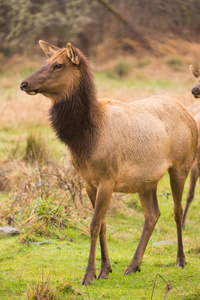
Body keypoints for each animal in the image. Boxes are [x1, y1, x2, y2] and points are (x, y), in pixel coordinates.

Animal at [19, 41, 198, 284]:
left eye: (58, 65)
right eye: (45, 61)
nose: (24, 83)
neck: (87, 138)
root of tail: (188, 114)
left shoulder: (108, 178)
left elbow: (94, 224)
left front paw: (88, 274)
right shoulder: (88, 182)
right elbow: (103, 224)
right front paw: (105, 269)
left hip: (182, 164)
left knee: (177, 211)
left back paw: (180, 260)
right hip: (146, 179)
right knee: (152, 214)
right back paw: (133, 265)